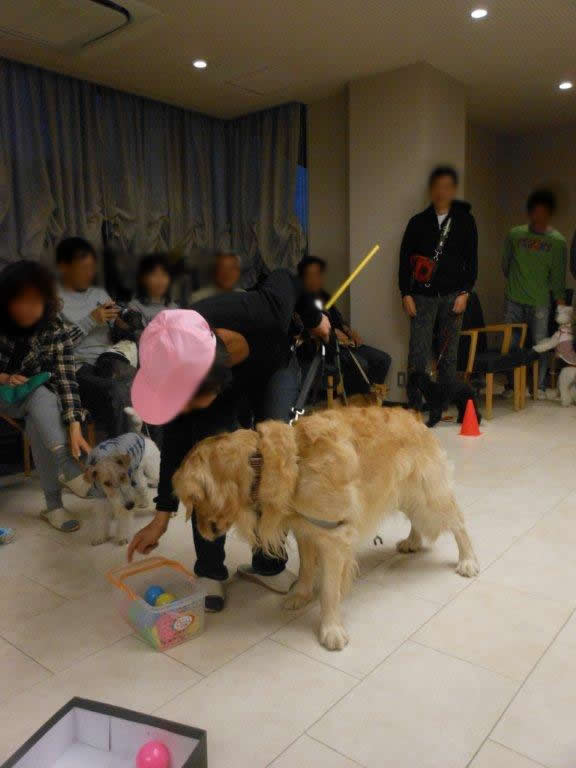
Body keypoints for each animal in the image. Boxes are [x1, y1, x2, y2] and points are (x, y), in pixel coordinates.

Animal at [173, 406, 479, 651]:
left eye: (193, 501)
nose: (201, 534)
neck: (274, 464)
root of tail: (415, 417)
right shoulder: (305, 529)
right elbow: (307, 568)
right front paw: (300, 595)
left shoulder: (334, 536)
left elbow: (331, 591)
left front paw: (331, 630)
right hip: (404, 492)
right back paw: (412, 541)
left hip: (429, 493)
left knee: (459, 521)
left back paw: (468, 561)